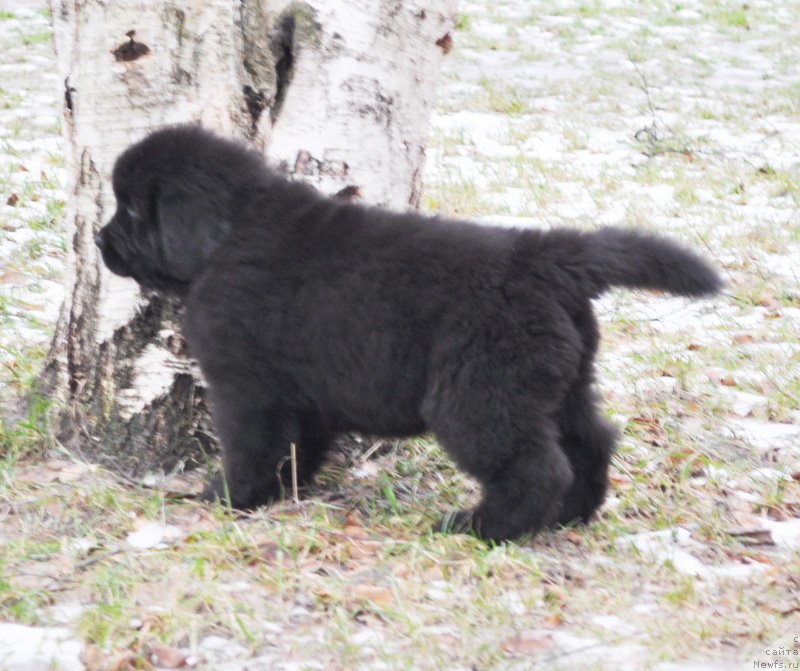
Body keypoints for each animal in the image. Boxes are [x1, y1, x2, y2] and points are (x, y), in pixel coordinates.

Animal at [97, 126, 720, 544]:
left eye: (131, 212)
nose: (100, 242)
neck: (231, 232)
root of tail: (545, 258)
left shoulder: (245, 388)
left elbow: (252, 447)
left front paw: (231, 498)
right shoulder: (303, 391)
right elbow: (298, 445)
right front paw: (285, 489)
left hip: (478, 396)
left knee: (535, 466)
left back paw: (482, 527)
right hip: (560, 383)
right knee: (593, 441)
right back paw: (572, 513)